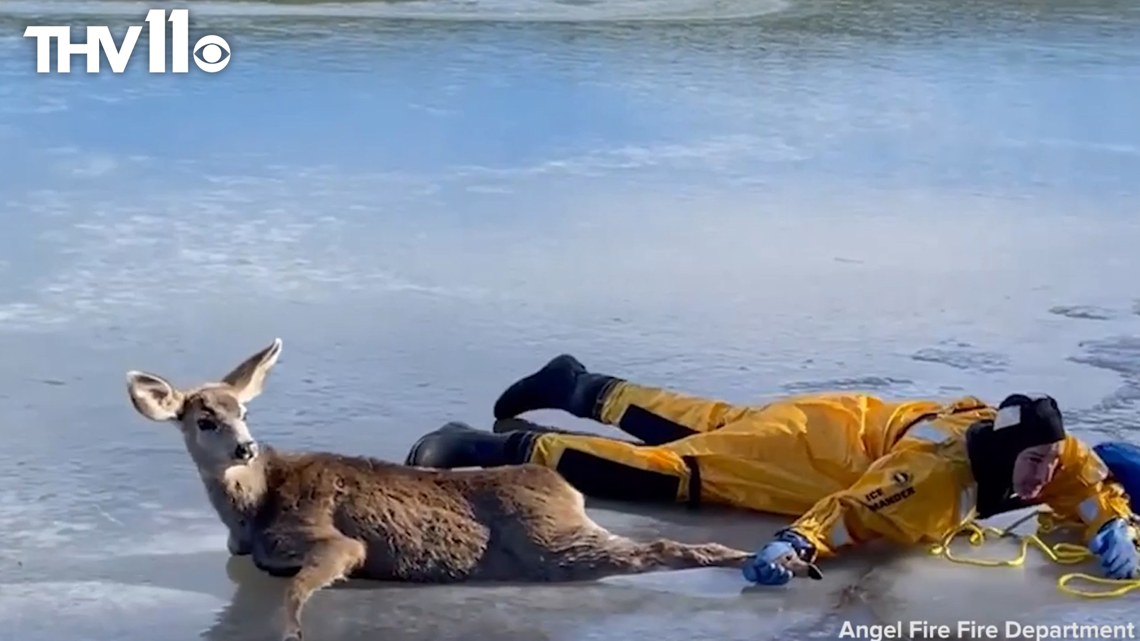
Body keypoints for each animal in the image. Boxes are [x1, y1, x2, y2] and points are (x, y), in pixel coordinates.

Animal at [122, 337, 766, 634]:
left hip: (554, 544)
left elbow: (299, 591)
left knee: (660, 546)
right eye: (205, 419)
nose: (246, 448)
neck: (251, 511)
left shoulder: (332, 539)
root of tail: (562, 489)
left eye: (245, 412)